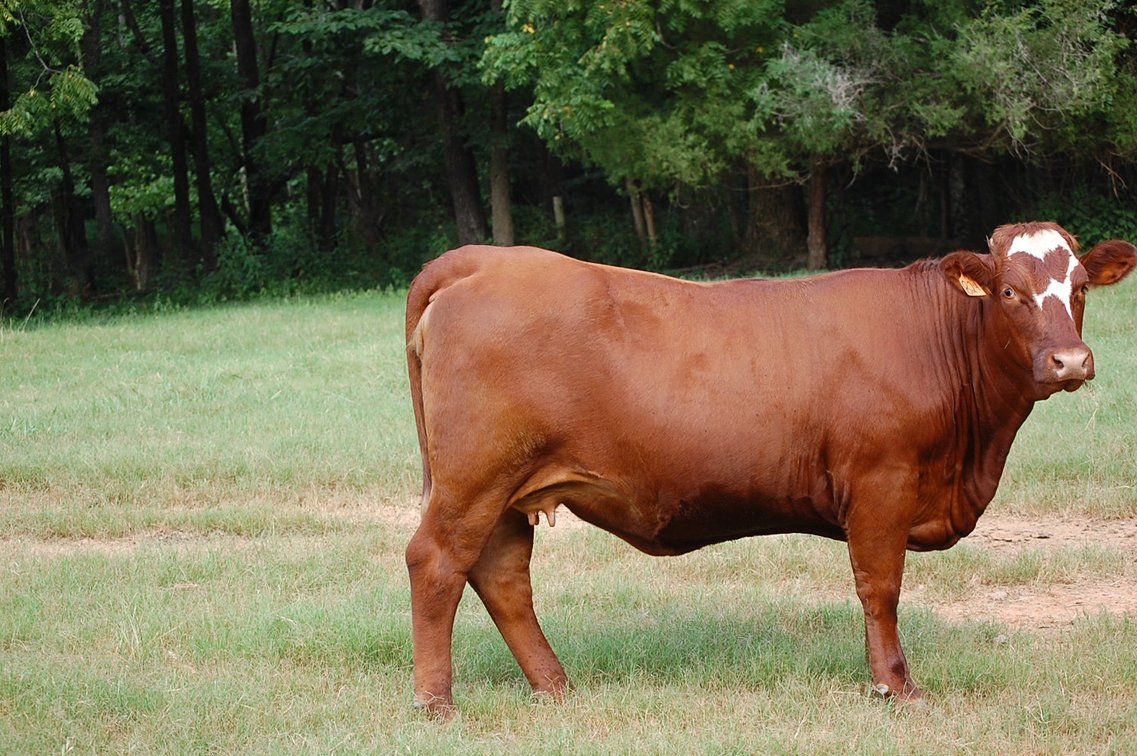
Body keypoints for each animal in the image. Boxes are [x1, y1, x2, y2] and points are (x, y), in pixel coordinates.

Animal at [403, 222, 1136, 717]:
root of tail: (480, 260)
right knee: (438, 562)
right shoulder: (882, 482)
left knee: (502, 576)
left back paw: (555, 688)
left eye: (1078, 289)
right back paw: (437, 703)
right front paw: (895, 685)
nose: (1070, 361)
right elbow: (880, 588)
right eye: (1010, 291)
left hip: (502, 489)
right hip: (475, 479)